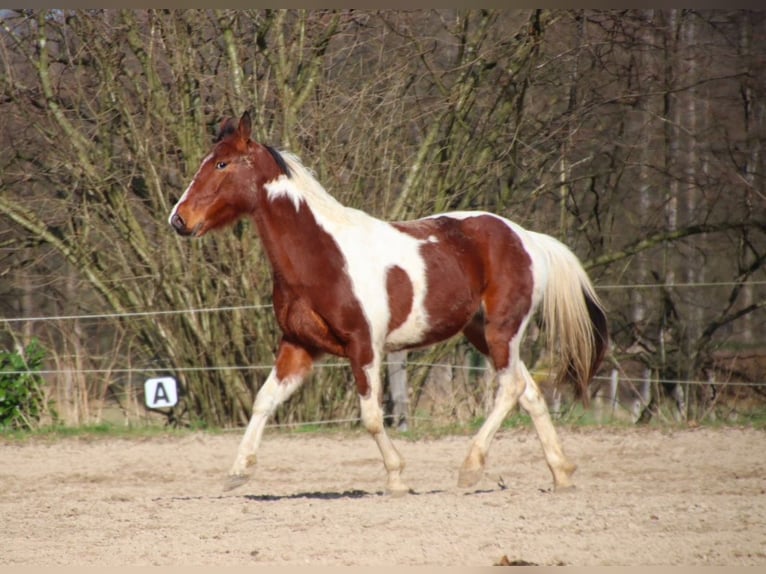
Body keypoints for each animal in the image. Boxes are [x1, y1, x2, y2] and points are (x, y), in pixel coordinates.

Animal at [170, 111, 612, 496]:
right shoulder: (299, 346)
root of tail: (527, 237)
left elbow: (370, 417)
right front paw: (238, 472)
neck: (324, 256)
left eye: (222, 163)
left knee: (511, 388)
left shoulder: (364, 346)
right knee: (530, 392)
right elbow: (264, 400)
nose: (179, 219)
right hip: (483, 334)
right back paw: (561, 473)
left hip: (503, 329)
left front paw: (397, 478)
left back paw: (470, 468)